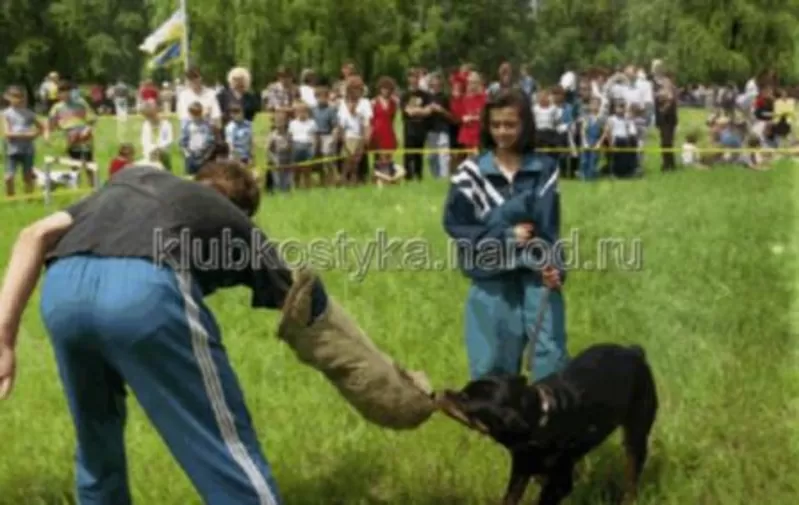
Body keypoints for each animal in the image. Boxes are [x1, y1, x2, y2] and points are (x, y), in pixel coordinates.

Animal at [438, 342, 656, 504]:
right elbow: (510, 498)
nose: (441, 392)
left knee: (632, 477)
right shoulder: (522, 468)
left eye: (464, 399)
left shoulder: (560, 482)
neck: (538, 420)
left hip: (637, 434)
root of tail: (634, 351)